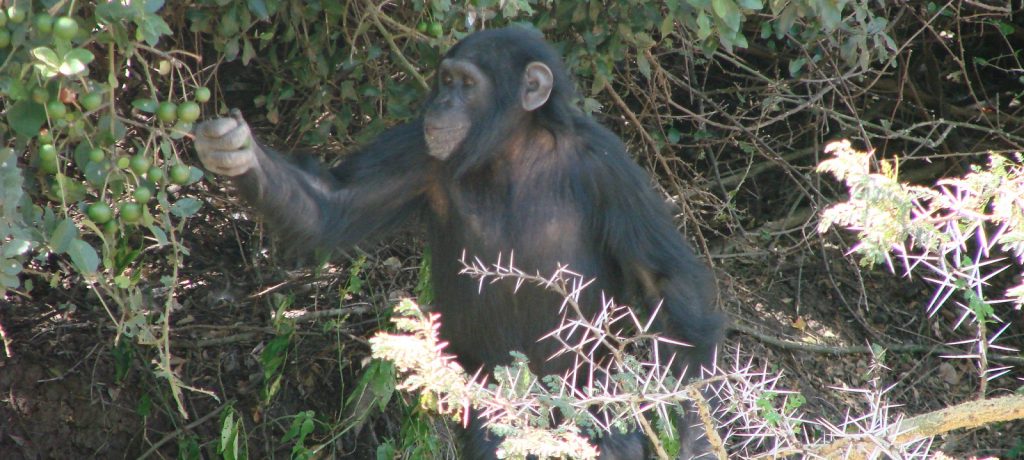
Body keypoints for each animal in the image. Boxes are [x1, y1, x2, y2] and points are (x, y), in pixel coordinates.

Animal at [190, 25, 720, 458]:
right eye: (445, 81)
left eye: (467, 84)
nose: (443, 103)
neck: (511, 150)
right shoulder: (417, 148)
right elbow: (330, 204)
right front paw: (234, 149)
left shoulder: (610, 168)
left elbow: (665, 283)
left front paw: (699, 436)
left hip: (588, 388)